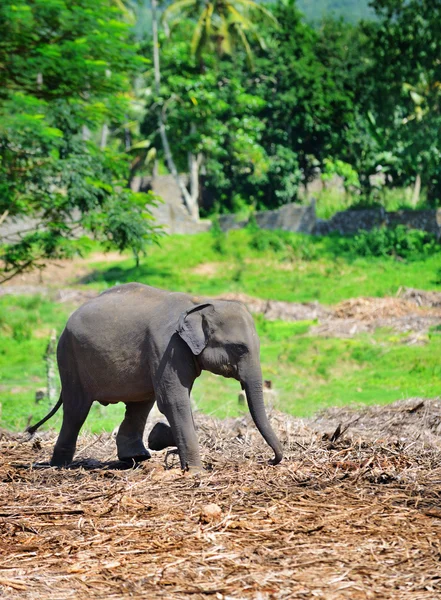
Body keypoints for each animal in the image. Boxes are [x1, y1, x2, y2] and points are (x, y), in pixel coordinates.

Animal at [27, 282, 282, 474]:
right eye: (239, 348)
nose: (271, 460)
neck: (199, 303)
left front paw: (160, 439)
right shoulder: (167, 346)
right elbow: (174, 401)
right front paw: (195, 471)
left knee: (139, 404)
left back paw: (137, 456)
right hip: (69, 355)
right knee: (77, 409)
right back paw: (59, 465)